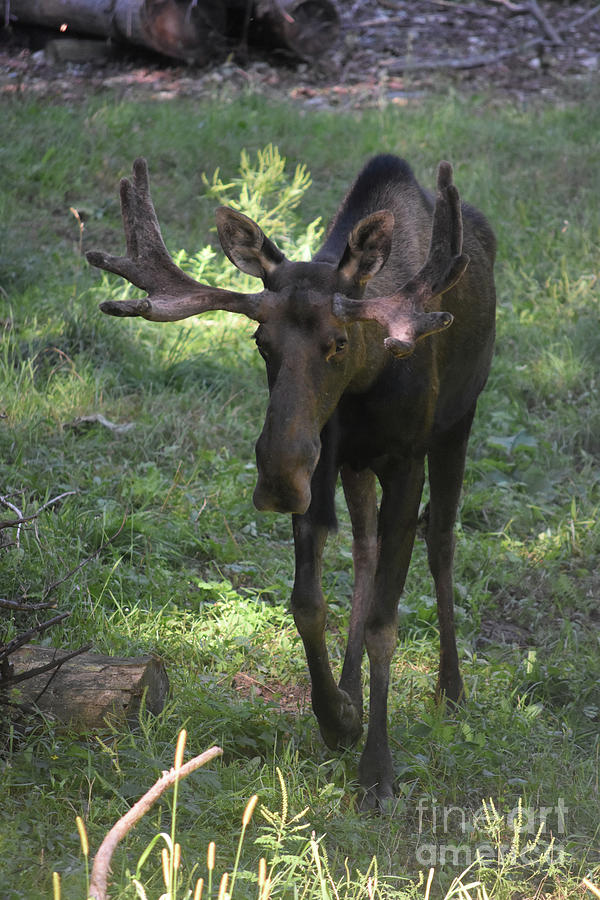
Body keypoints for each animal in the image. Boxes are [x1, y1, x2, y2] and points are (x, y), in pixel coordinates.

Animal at [85, 155, 496, 808]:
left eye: (338, 342)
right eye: (261, 341)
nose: (276, 478)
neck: (363, 388)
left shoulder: (406, 457)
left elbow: (385, 621)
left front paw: (378, 771)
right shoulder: (325, 458)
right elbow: (308, 600)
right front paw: (338, 717)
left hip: (459, 420)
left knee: (441, 540)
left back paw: (450, 690)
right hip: (356, 466)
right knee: (365, 547)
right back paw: (353, 686)